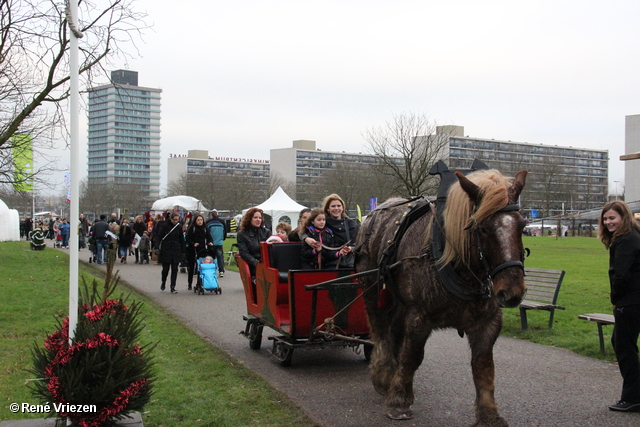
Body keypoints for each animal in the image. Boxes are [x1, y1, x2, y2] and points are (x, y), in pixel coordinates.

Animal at [356, 169, 528, 426]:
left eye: (522, 226)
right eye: (483, 228)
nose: (512, 291)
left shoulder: (487, 322)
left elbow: (483, 365)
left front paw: (488, 413)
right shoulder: (419, 317)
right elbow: (412, 356)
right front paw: (399, 400)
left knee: (394, 333)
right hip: (372, 289)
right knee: (381, 332)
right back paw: (384, 374)